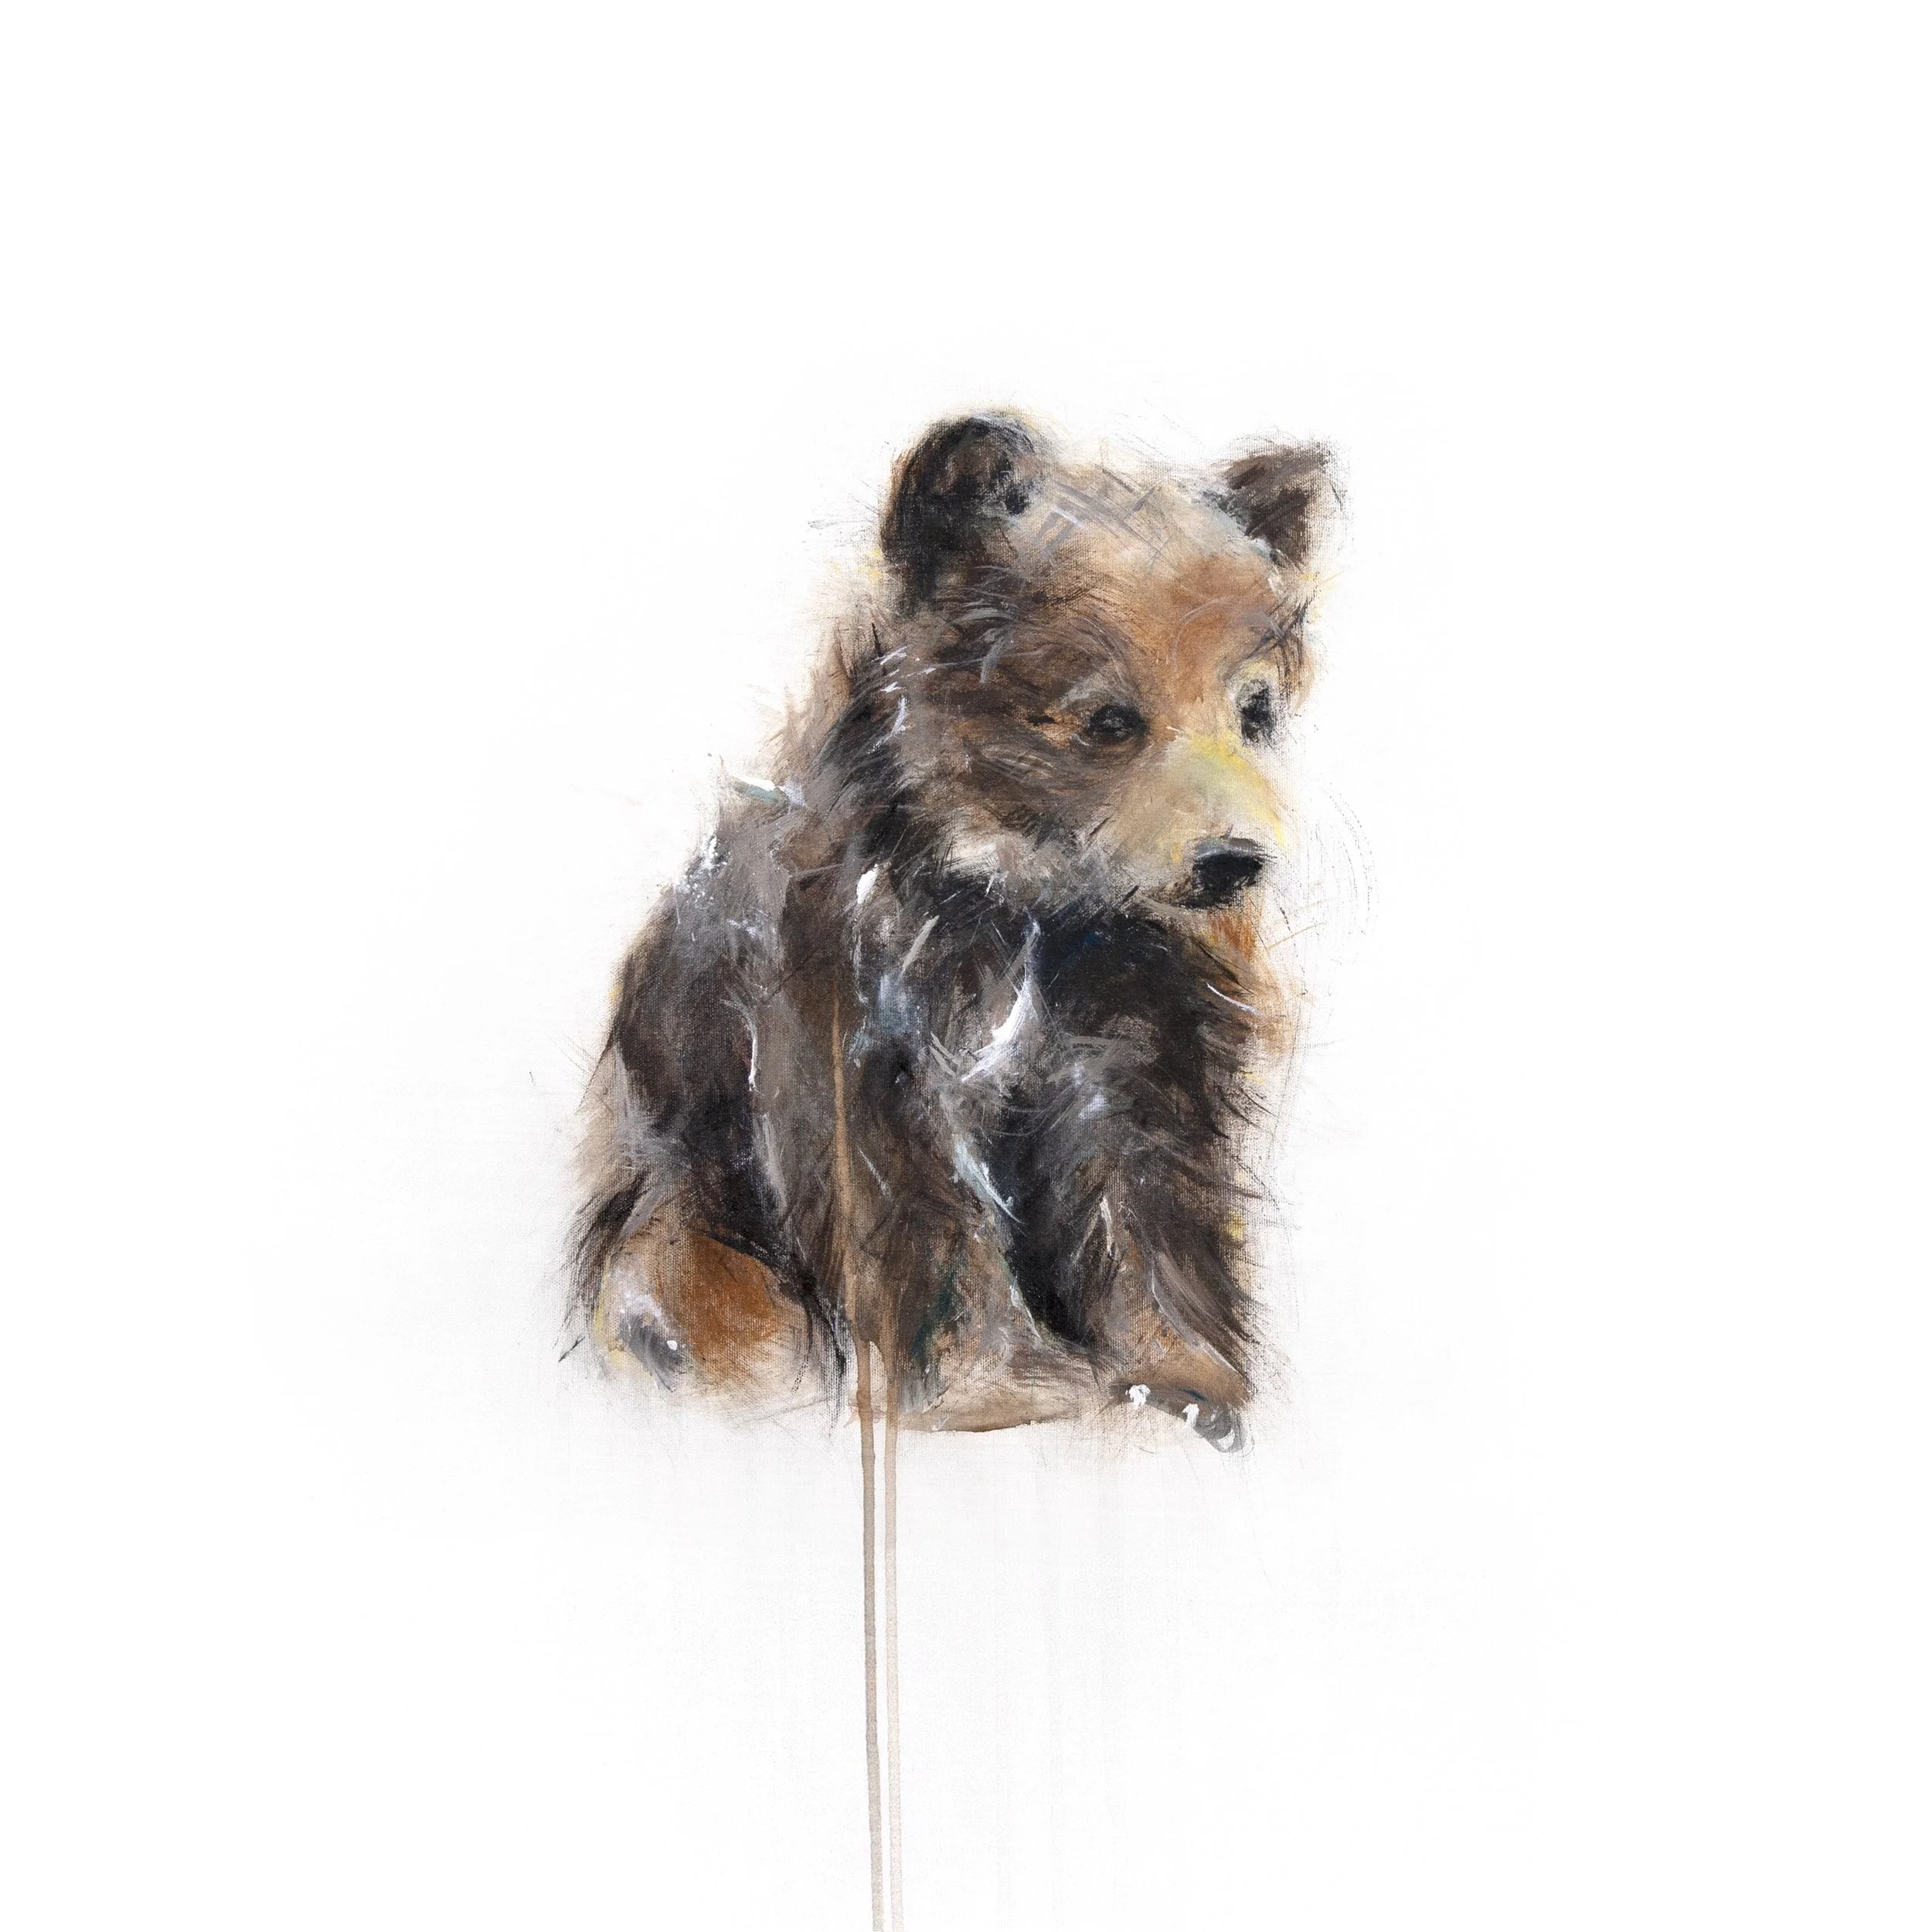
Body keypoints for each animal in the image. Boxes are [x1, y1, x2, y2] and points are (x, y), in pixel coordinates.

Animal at [572, 414, 1338, 1446]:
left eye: (1254, 711)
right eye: (1107, 720)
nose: (1233, 862)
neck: (1030, 915)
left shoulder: (1135, 1047)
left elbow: (1149, 1211)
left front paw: (1186, 1379)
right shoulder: (863, 1052)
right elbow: (926, 1229)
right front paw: (991, 1388)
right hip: (682, 1221)